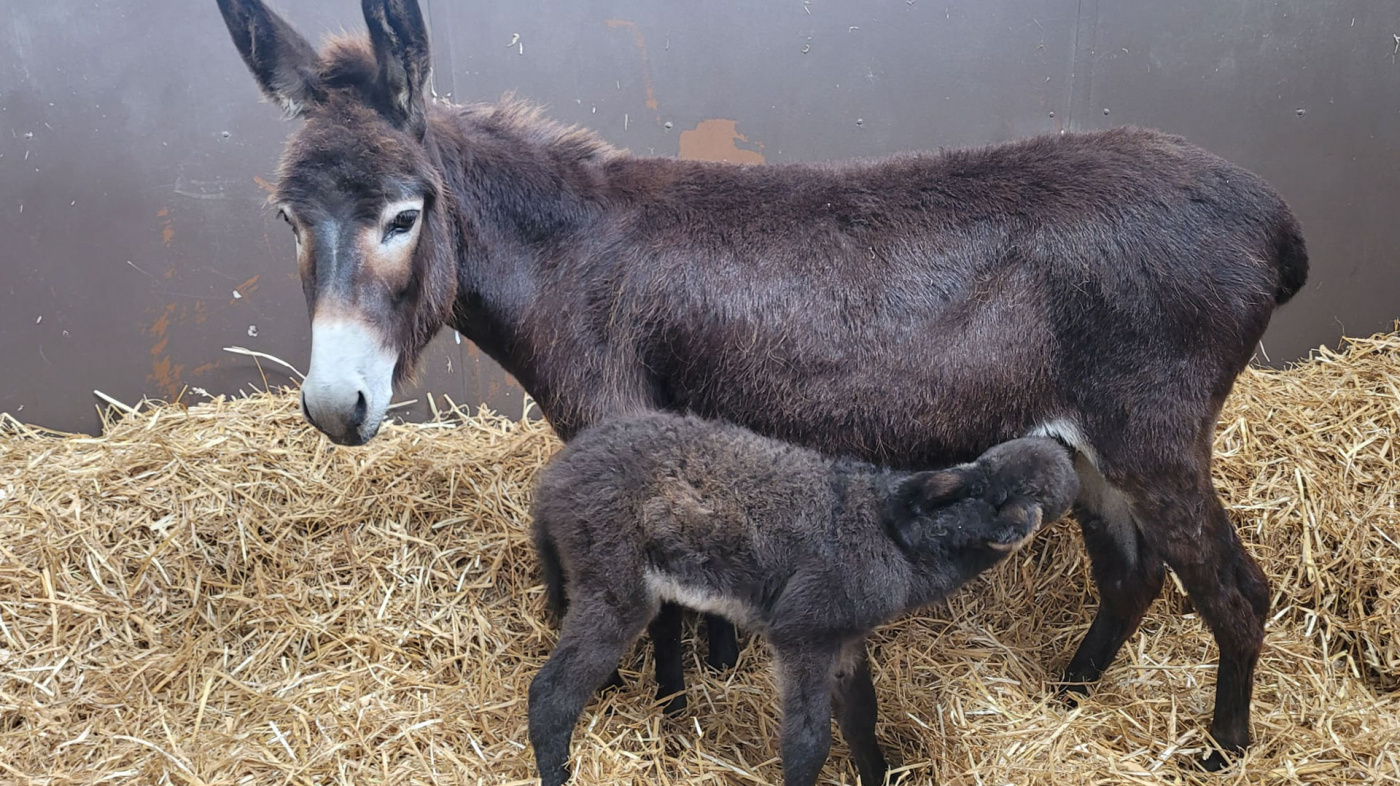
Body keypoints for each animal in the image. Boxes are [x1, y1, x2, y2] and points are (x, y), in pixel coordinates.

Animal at [529, 414, 1075, 778]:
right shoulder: (803, 632)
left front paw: (878, 775)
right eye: (984, 490)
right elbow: (808, 744)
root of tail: (552, 480)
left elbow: (861, 716)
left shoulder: (845, 638)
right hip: (617, 584)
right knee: (550, 695)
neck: (897, 544)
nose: (931, 512)